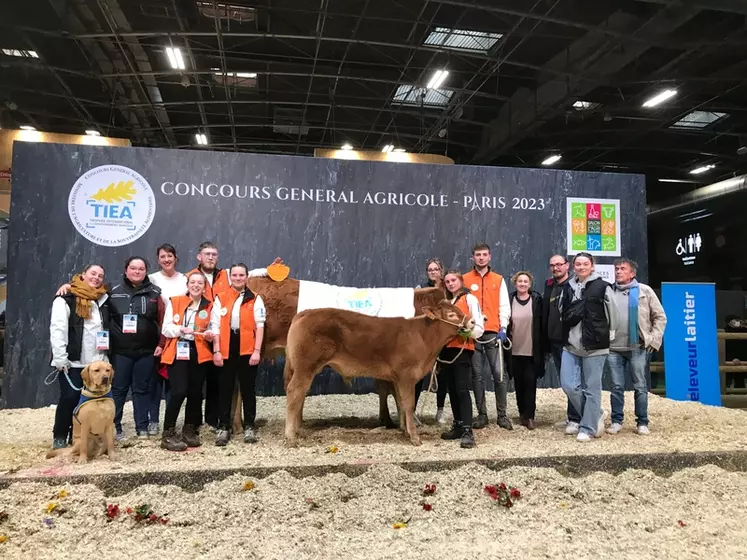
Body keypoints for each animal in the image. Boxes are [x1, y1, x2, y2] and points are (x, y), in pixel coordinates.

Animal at [282, 300, 474, 448]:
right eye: (451, 315)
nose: (472, 321)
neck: (422, 337)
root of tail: (305, 313)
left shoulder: (397, 379)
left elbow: (400, 403)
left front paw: (405, 431)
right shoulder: (407, 376)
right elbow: (409, 404)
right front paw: (414, 437)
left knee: (299, 394)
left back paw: (297, 431)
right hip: (305, 367)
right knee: (294, 392)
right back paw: (290, 437)